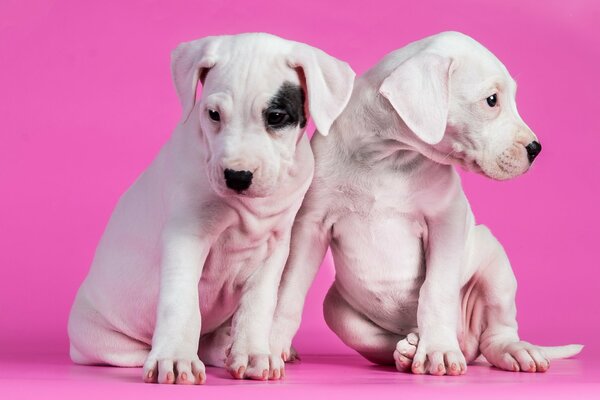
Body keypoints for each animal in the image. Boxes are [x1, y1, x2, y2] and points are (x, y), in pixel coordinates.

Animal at [67, 33, 354, 384]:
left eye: (275, 117)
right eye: (214, 114)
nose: (237, 176)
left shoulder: (276, 245)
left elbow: (259, 303)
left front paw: (254, 353)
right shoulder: (185, 237)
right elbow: (181, 300)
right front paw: (175, 358)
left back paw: (226, 348)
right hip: (104, 341)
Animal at [270, 30, 584, 376]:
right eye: (492, 100)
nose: (535, 148)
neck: (386, 158)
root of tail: (468, 343)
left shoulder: (445, 222)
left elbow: (435, 290)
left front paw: (439, 351)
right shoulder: (310, 226)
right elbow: (288, 291)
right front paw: (272, 344)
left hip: (495, 265)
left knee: (496, 333)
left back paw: (503, 349)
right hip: (337, 311)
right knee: (378, 340)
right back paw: (408, 350)